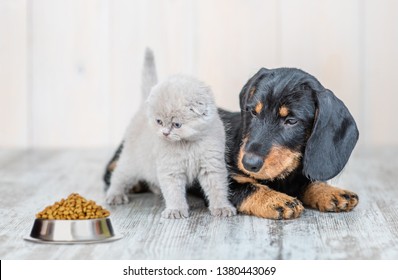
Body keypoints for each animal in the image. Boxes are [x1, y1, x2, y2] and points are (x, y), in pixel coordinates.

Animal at [104, 67, 360, 219]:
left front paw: (331, 193)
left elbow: (307, 181)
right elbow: (248, 187)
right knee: (112, 171)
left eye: (291, 121)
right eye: (253, 112)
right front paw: (276, 200)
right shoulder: (224, 176)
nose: (249, 163)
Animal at [106, 48, 236, 219]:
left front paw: (222, 207)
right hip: (131, 162)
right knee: (119, 176)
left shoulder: (212, 165)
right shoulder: (170, 169)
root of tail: (142, 107)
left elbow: (218, 189)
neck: (187, 144)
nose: (165, 133)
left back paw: (155, 188)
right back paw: (115, 195)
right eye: (159, 121)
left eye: (176, 124)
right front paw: (176, 210)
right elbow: (173, 192)